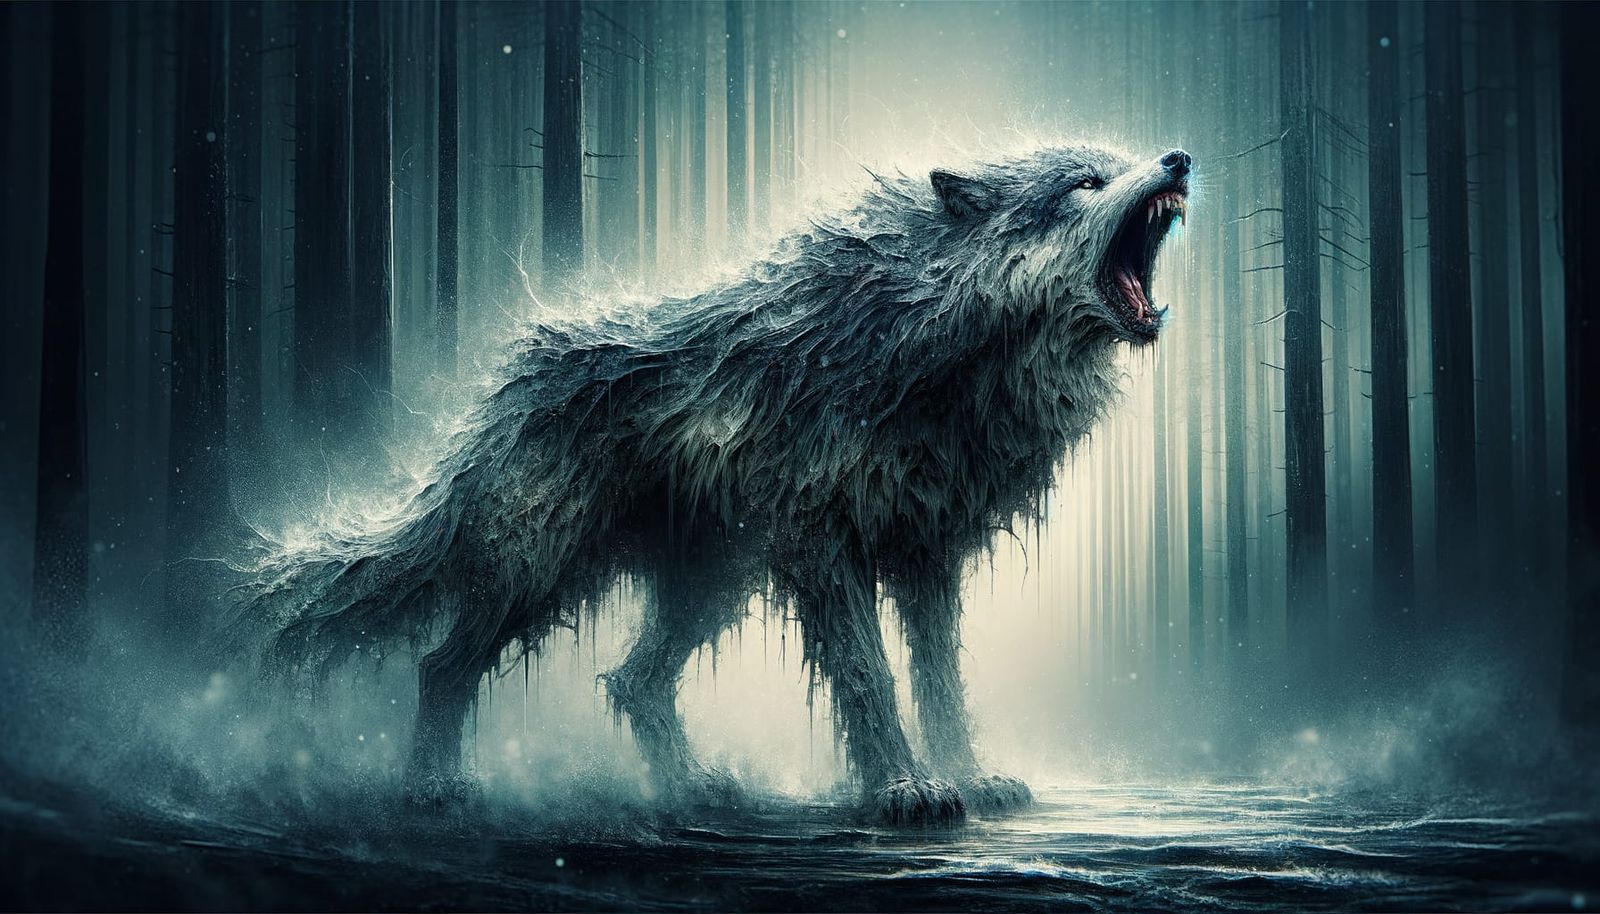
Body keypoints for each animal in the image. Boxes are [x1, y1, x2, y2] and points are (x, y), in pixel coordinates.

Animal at [241, 144, 1193, 825]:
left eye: (1115, 158)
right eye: (1086, 181)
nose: (1181, 158)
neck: (936, 343)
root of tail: (503, 386)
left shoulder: (927, 554)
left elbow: (941, 682)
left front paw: (970, 775)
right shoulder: (821, 544)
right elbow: (869, 678)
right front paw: (903, 792)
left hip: (711, 584)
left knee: (632, 681)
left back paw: (693, 789)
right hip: (542, 573)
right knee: (442, 665)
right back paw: (433, 790)